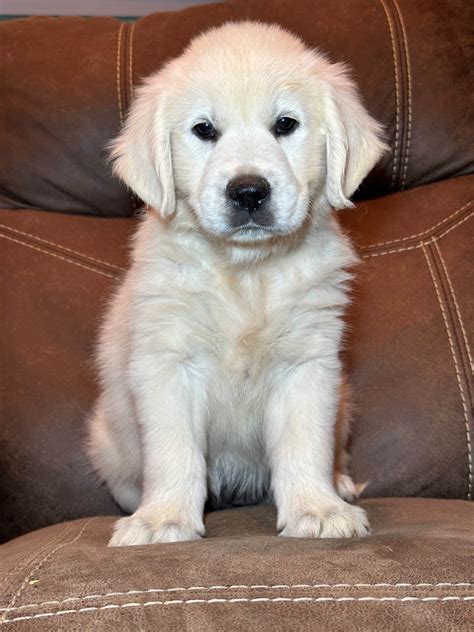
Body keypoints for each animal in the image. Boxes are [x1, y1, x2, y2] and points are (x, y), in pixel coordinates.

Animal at [88, 19, 386, 544]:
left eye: (285, 124)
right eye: (204, 130)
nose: (248, 192)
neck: (247, 272)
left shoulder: (307, 364)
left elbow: (305, 444)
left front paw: (316, 510)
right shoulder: (168, 363)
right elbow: (174, 452)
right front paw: (163, 518)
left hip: (344, 403)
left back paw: (339, 486)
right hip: (107, 440)